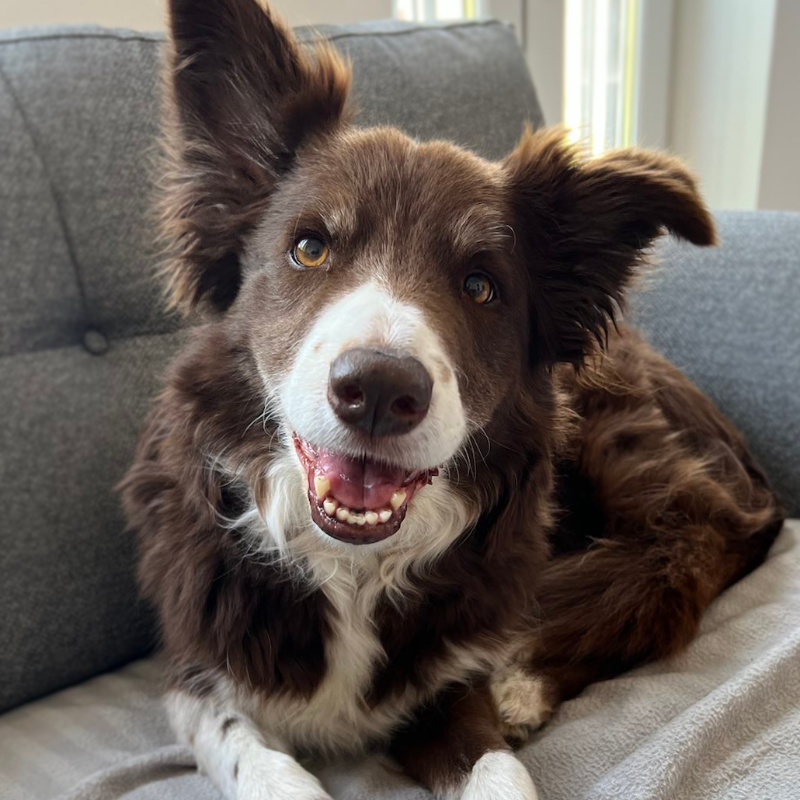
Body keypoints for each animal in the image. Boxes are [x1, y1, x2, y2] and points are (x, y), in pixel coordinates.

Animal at [120, 1, 788, 800]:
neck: (352, 568)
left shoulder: (449, 681)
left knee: (692, 531)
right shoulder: (198, 676)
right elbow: (263, 764)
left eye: (481, 285)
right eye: (309, 247)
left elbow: (501, 772)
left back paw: (524, 679)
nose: (379, 390)